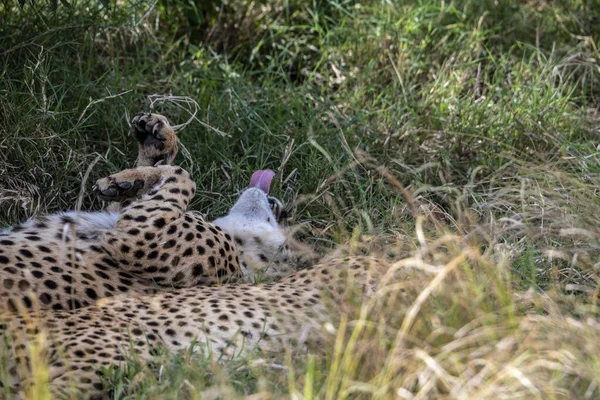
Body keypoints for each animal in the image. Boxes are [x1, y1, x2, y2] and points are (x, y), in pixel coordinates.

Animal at [0, 112, 292, 312]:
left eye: (283, 219)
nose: (280, 205)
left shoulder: (136, 238)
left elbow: (184, 177)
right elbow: (155, 181)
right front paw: (147, 156)